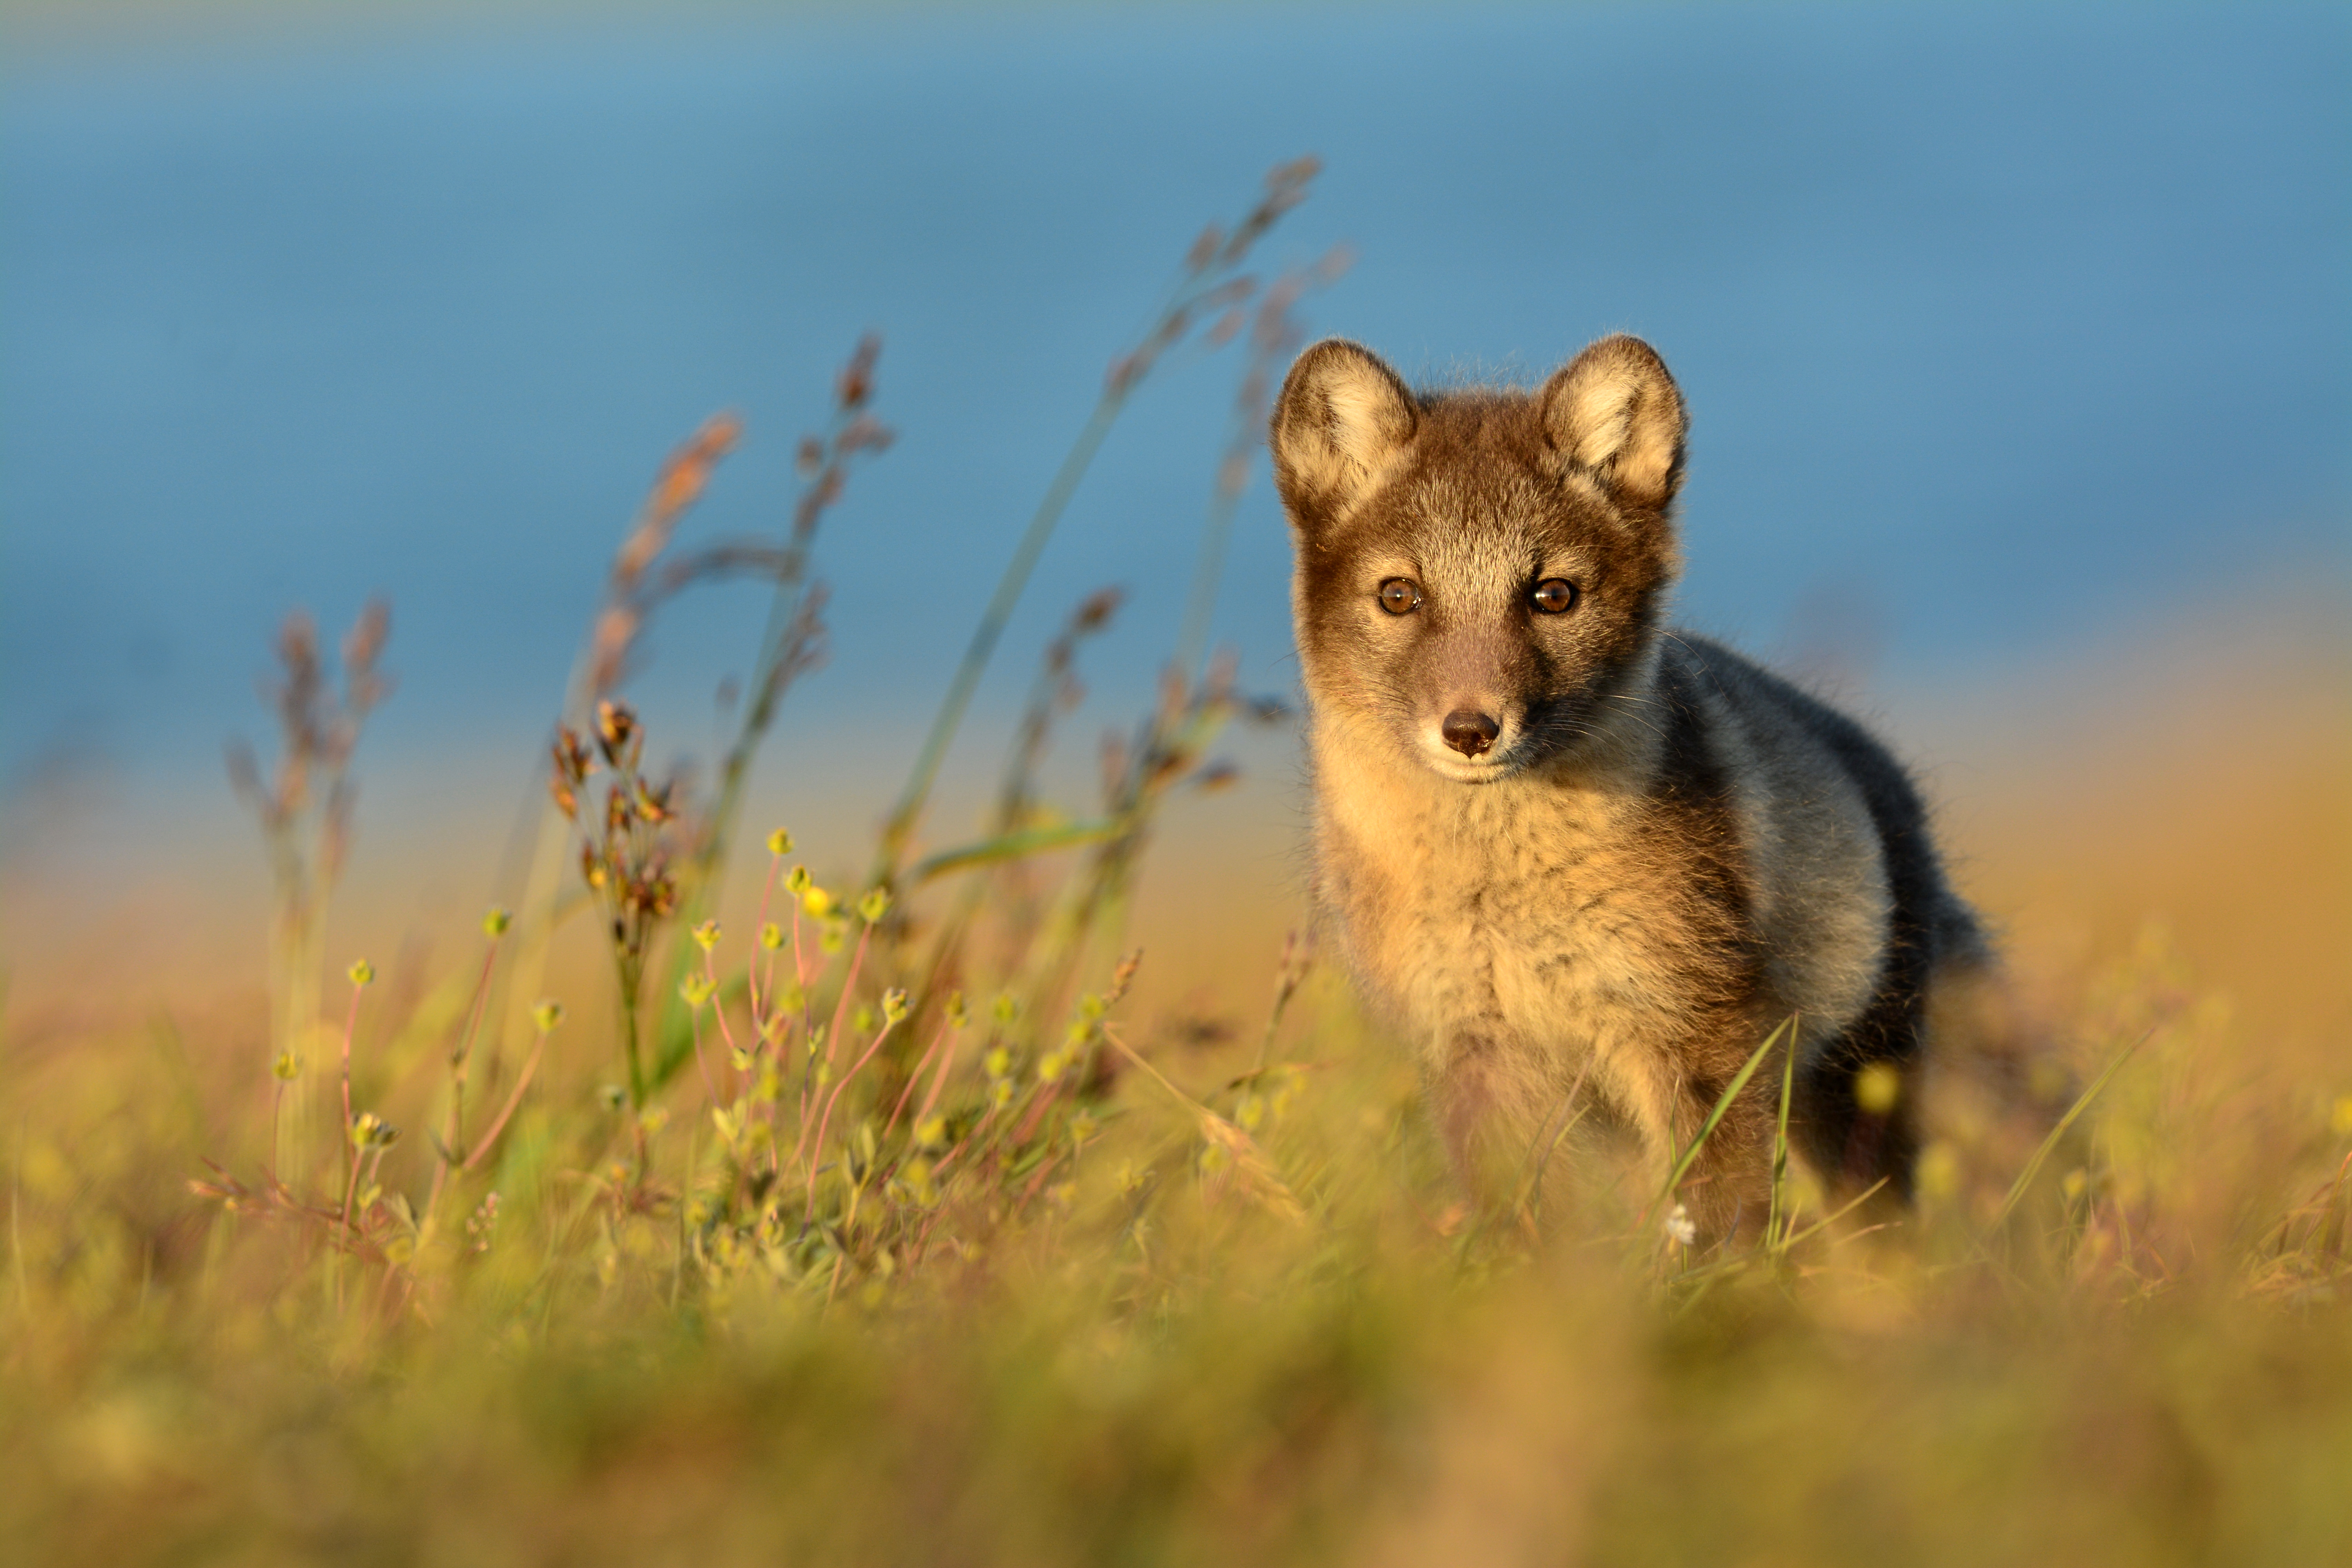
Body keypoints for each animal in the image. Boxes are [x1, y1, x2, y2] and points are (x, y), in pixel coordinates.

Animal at [1270, 334, 1985, 1241]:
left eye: (1553, 595)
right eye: (1400, 595)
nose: (1471, 730)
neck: (1497, 894)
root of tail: (1883, 771)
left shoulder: (1696, 1031)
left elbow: (1718, 1217)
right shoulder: (1475, 1050)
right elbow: (1529, 1231)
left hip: (1854, 1085)